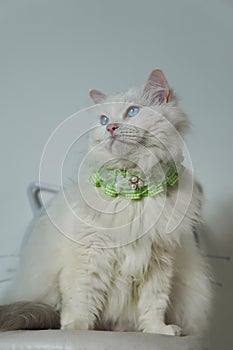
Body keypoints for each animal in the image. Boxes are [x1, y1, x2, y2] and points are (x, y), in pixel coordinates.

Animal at [0, 69, 212, 334]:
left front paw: (159, 330)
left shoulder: (159, 262)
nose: (111, 127)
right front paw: (76, 329)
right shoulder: (89, 255)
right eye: (103, 119)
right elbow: (82, 301)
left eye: (132, 111)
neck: (134, 188)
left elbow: (153, 305)